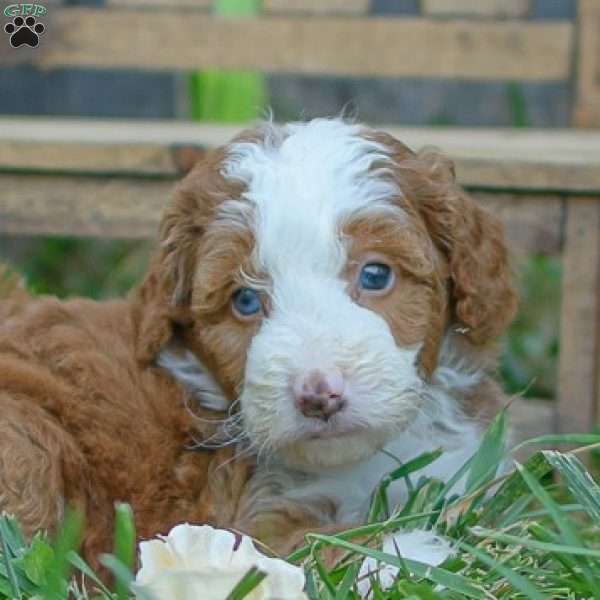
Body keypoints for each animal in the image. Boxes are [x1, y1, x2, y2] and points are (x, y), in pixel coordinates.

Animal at [0, 117, 516, 568]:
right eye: (245, 300)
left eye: (375, 274)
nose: (318, 396)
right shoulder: (245, 516)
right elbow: (309, 550)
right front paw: (416, 552)